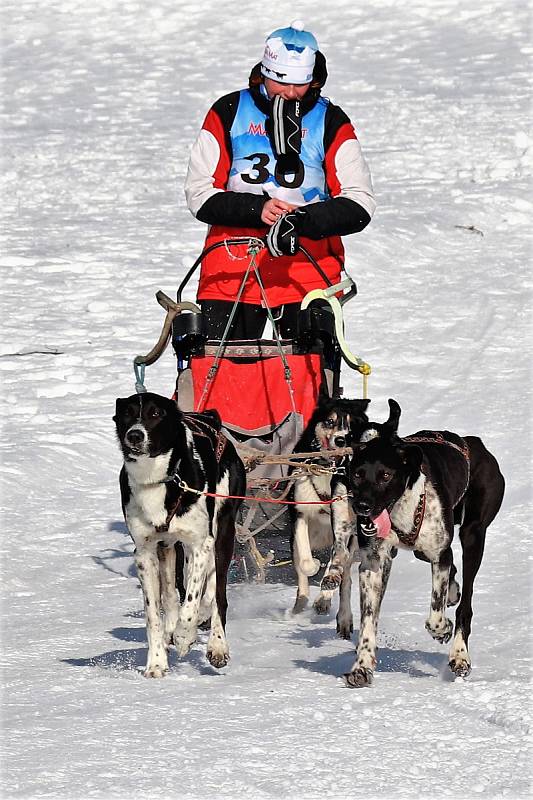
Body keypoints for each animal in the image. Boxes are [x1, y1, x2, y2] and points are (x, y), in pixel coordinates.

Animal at [114, 390, 245, 680]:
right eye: (127, 413)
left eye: (155, 413)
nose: (134, 435)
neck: (158, 481)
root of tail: (210, 418)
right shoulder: (145, 553)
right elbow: (154, 613)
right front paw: (156, 662)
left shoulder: (201, 544)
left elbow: (193, 602)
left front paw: (186, 636)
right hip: (169, 546)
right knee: (173, 593)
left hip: (222, 533)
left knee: (217, 595)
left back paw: (216, 644)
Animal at [288, 394, 368, 624]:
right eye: (330, 422)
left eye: (352, 425)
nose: (341, 440)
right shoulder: (300, 514)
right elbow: (305, 562)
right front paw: (314, 564)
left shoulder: (345, 528)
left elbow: (337, 561)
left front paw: (325, 594)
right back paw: (300, 604)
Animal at [322, 400, 504, 688]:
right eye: (357, 474)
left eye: (385, 475)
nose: (361, 506)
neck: (401, 507)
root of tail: (473, 443)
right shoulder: (373, 564)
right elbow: (369, 620)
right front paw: (362, 667)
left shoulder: (440, 553)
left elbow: (435, 613)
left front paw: (442, 630)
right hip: (419, 551)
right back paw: (453, 593)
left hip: (473, 535)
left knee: (465, 606)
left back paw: (459, 655)